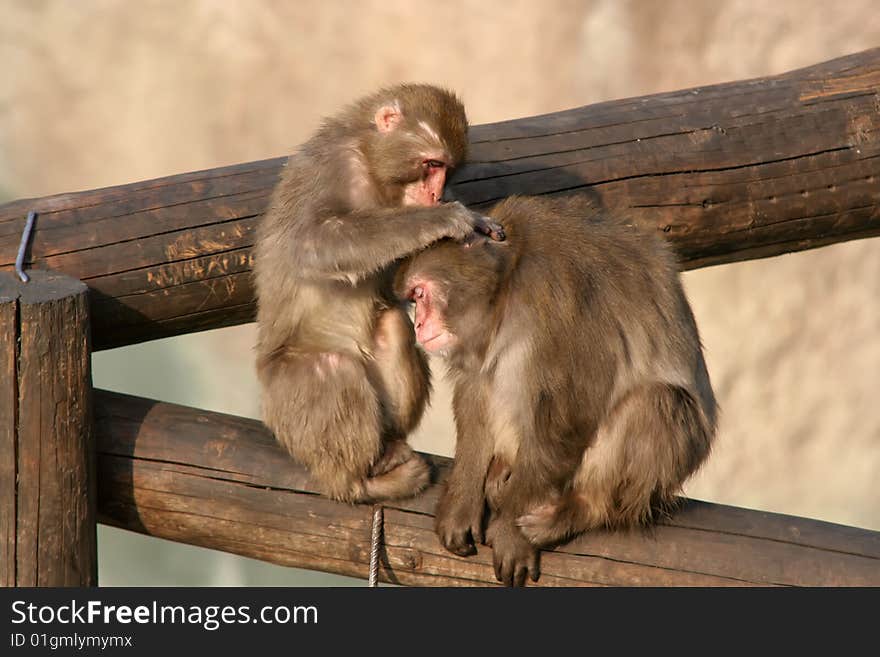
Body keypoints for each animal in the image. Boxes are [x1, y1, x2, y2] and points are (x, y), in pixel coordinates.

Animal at [251, 82, 506, 502]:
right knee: (329, 369)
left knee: (393, 327)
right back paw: (359, 480)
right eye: (431, 165)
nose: (435, 195)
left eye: (447, 170)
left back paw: (389, 447)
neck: (371, 165)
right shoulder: (332, 167)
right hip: (285, 403)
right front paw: (446, 218)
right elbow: (313, 244)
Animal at [396, 193, 720, 584]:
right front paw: (461, 503)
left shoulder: (554, 301)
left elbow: (567, 415)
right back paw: (500, 469)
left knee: (657, 402)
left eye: (420, 294)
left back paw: (583, 508)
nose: (418, 325)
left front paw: (511, 533)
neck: (509, 282)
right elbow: (477, 389)